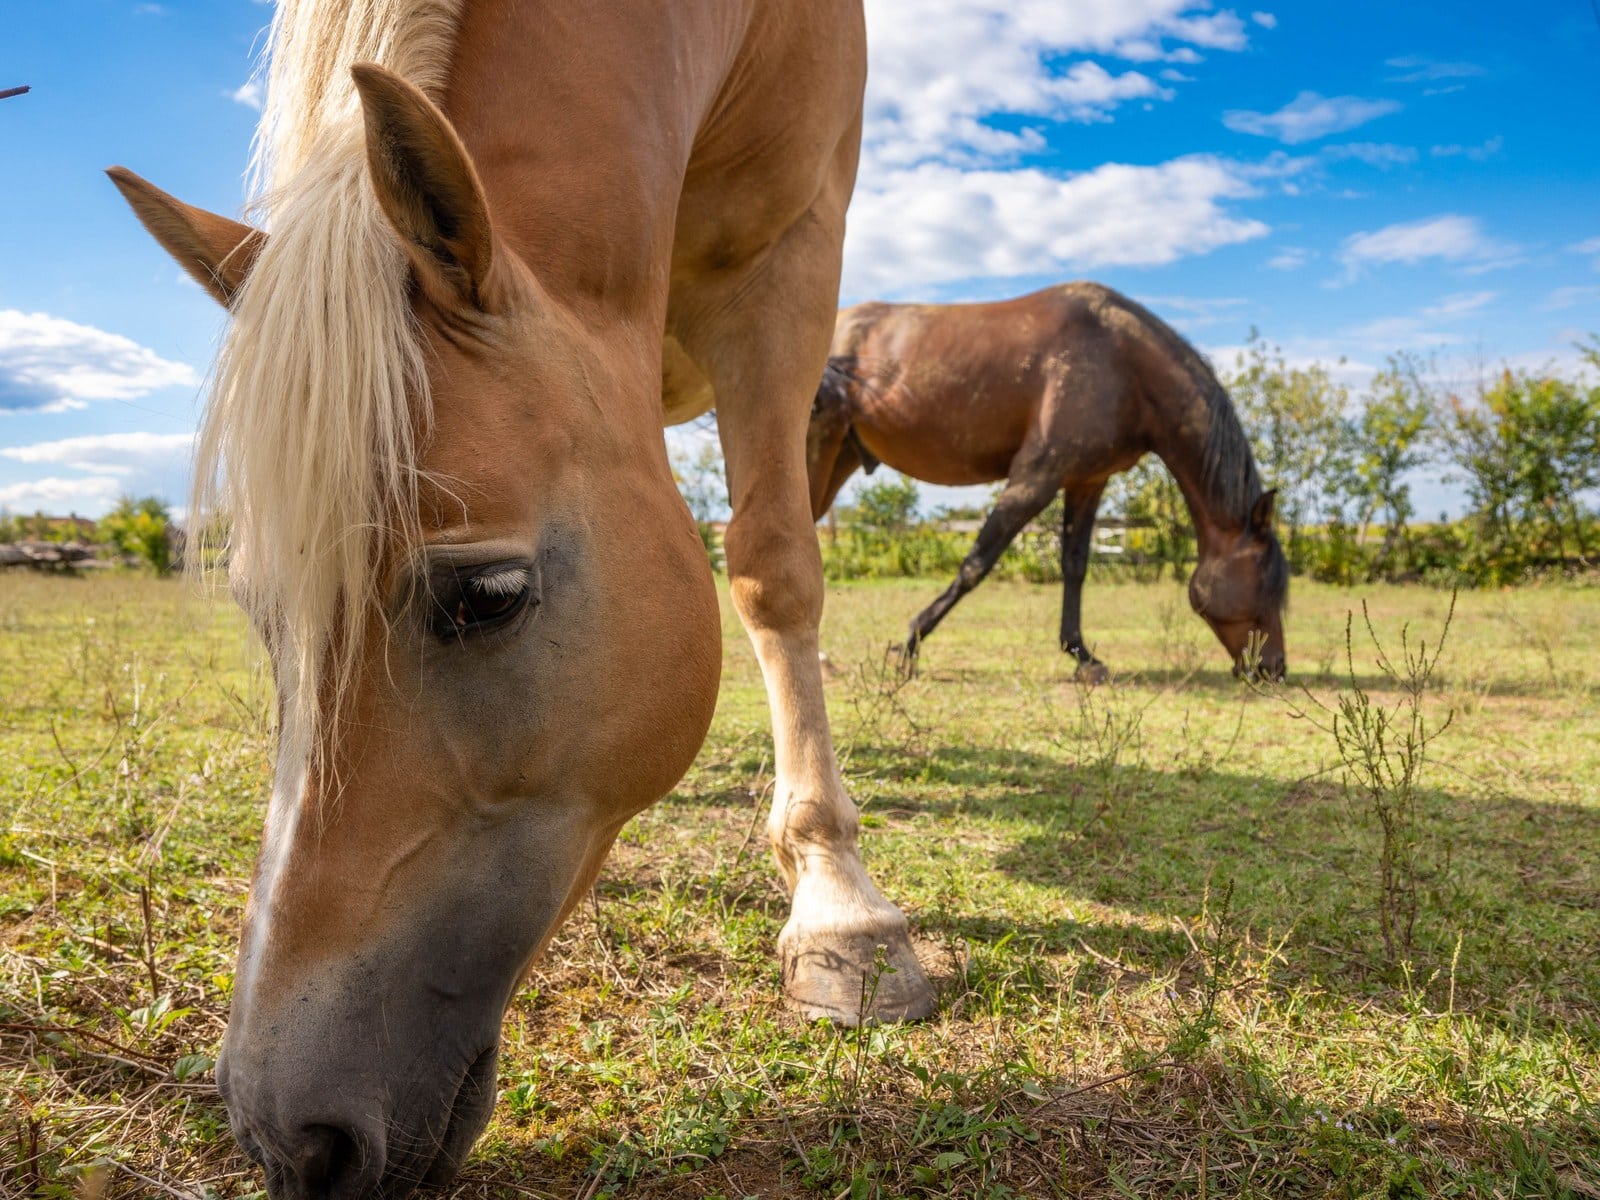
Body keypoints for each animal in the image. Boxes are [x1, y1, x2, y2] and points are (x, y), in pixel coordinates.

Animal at [108, 2, 931, 1194]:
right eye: (264, 618)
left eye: (487, 595)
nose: (287, 1138)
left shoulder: (789, 264)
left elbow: (774, 564)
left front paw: (842, 913)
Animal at [806, 283, 1289, 681]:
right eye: (1266, 583)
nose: (1274, 669)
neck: (1122, 360)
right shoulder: (1035, 477)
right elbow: (976, 564)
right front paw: (908, 645)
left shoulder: (1086, 481)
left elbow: (1074, 565)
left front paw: (1083, 656)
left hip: (839, 458)